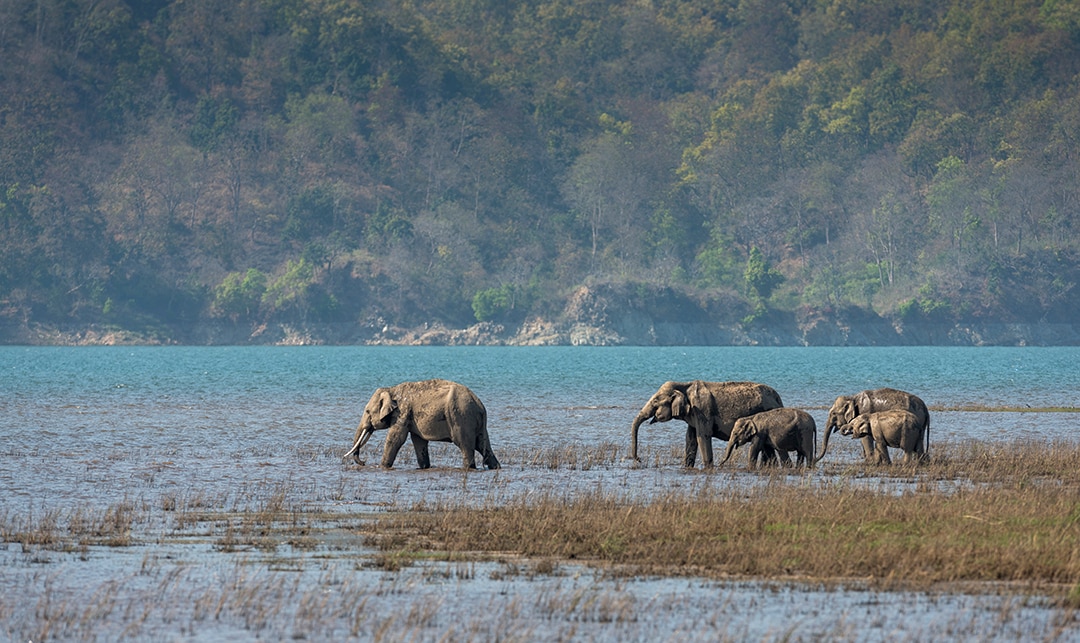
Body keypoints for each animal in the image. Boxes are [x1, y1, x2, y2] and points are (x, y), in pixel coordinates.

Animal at [344, 379, 500, 470]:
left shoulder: (402, 412)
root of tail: (480, 405)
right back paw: (495, 467)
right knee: (482, 444)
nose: (364, 462)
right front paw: (425, 467)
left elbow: (396, 439)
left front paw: (382, 467)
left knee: (465, 445)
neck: (391, 389)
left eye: (367, 411)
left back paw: (469, 467)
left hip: (461, 418)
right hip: (475, 423)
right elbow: (419, 441)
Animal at [630, 381, 784, 468]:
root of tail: (778, 399)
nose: (639, 459)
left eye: (655, 402)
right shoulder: (693, 414)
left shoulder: (702, 410)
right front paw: (687, 467)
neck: (684, 385)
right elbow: (690, 438)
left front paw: (708, 468)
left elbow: (702, 436)